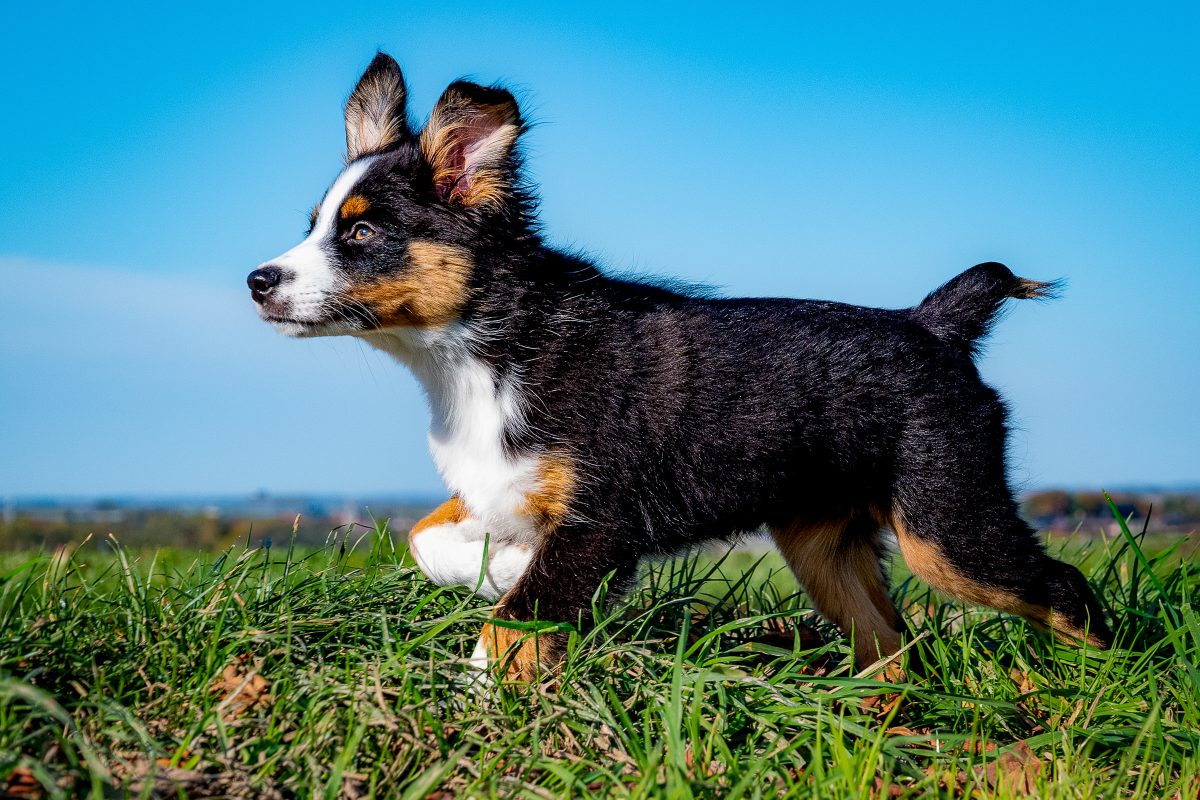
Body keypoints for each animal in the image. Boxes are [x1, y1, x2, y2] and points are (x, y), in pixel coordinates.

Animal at [248, 53, 1112, 681]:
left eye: (361, 234)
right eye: (316, 225)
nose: (258, 281)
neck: (486, 356)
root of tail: (932, 322)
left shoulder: (601, 516)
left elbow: (516, 627)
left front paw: (478, 697)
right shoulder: (502, 485)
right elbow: (427, 539)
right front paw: (499, 568)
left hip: (947, 523)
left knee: (1066, 591)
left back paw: (1105, 691)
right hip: (823, 544)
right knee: (891, 645)